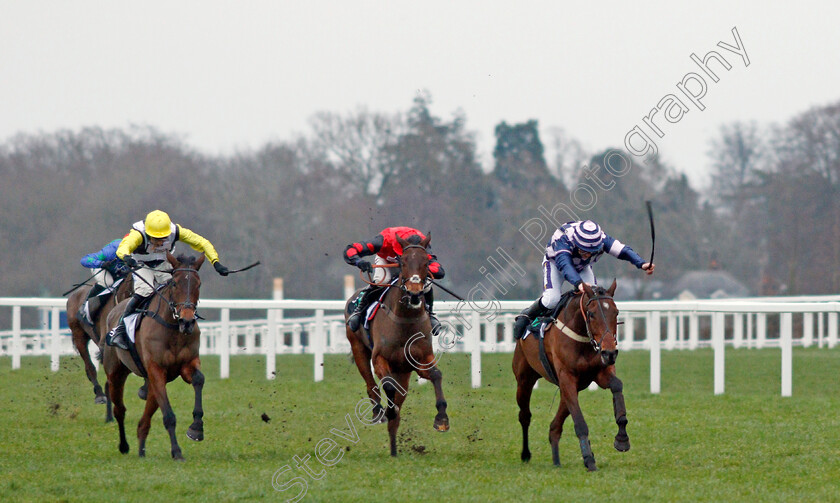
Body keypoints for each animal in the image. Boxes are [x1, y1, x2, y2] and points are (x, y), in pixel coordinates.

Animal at [102, 252, 207, 460]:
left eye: (198, 284)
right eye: (174, 283)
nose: (187, 321)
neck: (173, 329)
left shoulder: (186, 364)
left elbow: (199, 379)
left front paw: (196, 428)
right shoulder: (156, 369)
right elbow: (169, 416)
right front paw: (177, 451)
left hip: (151, 382)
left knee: (145, 418)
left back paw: (141, 449)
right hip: (116, 373)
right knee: (120, 410)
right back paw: (124, 445)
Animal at [344, 234, 450, 458]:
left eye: (426, 262)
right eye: (402, 262)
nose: (415, 292)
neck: (405, 320)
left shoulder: (420, 360)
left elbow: (436, 375)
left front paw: (442, 419)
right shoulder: (380, 359)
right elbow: (387, 386)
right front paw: (388, 410)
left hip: (403, 372)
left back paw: (394, 449)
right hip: (358, 349)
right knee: (371, 386)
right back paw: (378, 412)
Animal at [512, 282, 632, 470]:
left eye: (616, 312)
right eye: (591, 314)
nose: (610, 353)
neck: (582, 338)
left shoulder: (597, 373)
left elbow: (617, 386)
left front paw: (622, 439)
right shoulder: (567, 377)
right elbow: (580, 422)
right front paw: (588, 459)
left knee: (555, 426)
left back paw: (556, 460)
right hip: (524, 380)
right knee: (525, 416)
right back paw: (526, 454)